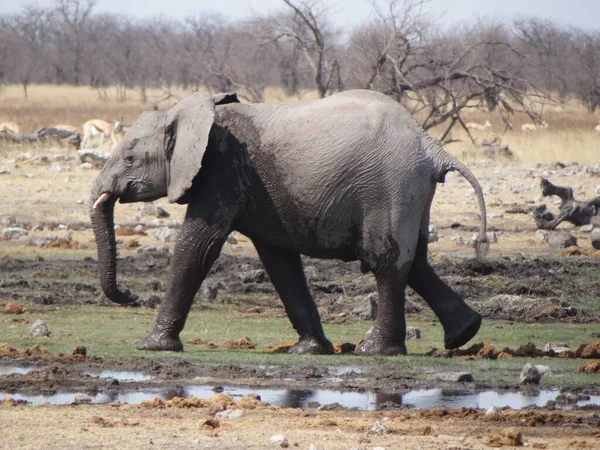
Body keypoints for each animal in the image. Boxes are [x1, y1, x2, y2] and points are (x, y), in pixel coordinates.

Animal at [91, 89, 490, 356]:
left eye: (129, 158)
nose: (130, 295)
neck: (188, 112)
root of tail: (430, 146)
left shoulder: (221, 169)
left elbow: (198, 245)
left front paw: (151, 345)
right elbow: (279, 261)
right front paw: (309, 351)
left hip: (390, 185)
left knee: (386, 260)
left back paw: (374, 350)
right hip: (408, 190)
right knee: (416, 259)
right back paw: (464, 334)